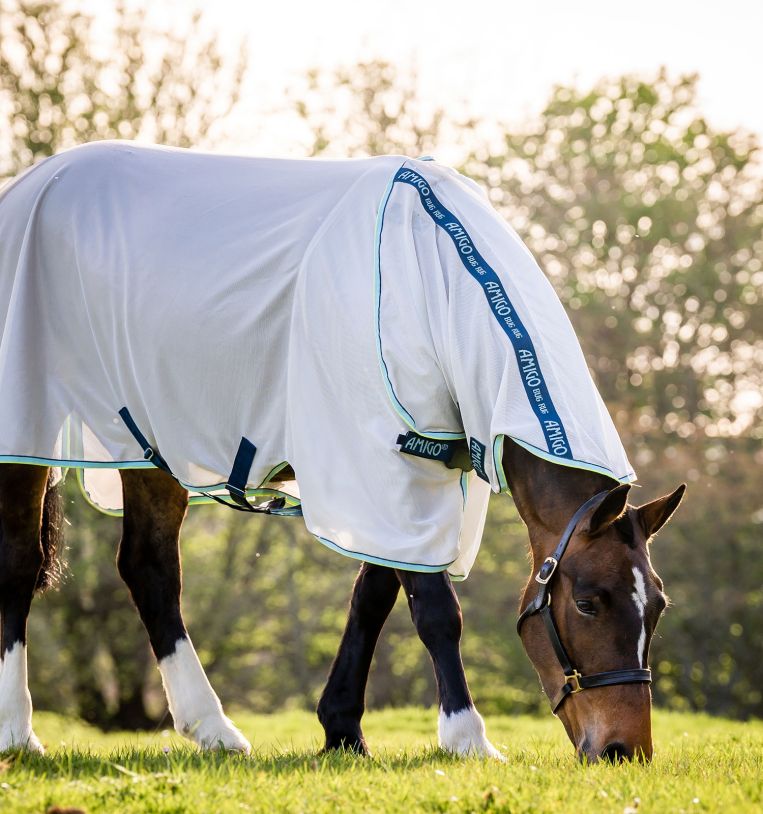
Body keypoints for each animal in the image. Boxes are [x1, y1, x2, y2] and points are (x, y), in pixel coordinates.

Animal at [0, 142, 684, 762]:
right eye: (589, 602)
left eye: (656, 606)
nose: (624, 750)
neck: (433, 279)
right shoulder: (378, 460)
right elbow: (436, 610)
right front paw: (467, 738)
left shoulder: (404, 472)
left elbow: (373, 596)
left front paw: (343, 729)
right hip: (27, 436)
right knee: (20, 560)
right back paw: (19, 734)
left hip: (150, 444)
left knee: (150, 569)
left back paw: (212, 730)